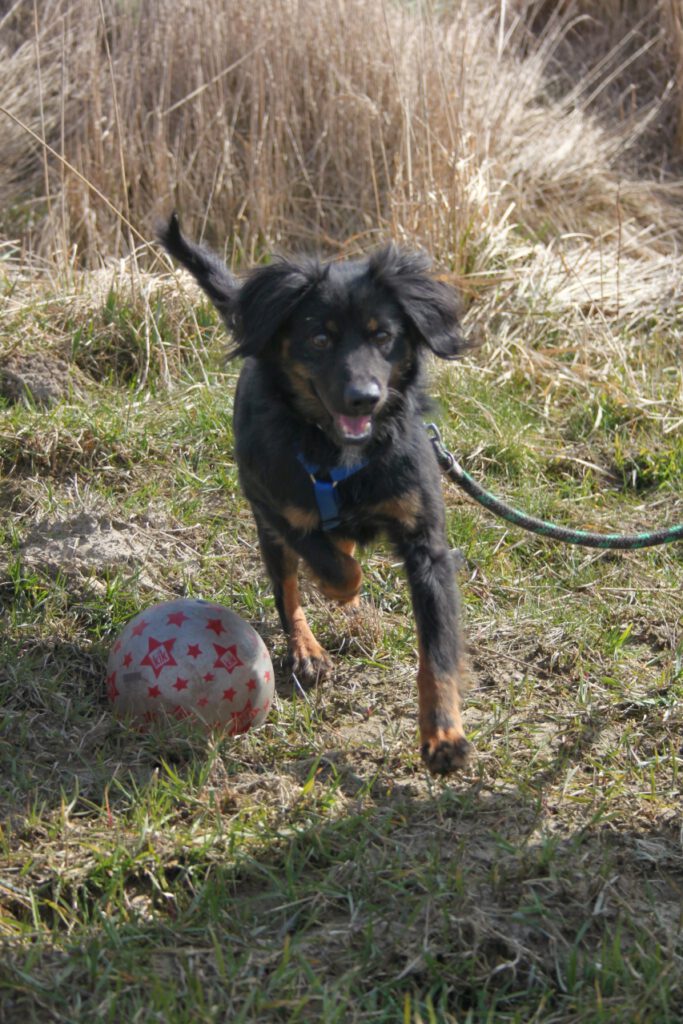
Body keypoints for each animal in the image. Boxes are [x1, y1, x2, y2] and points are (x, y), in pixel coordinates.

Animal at [158, 216, 473, 774]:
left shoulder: (426, 544)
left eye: (383, 336)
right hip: (268, 530)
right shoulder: (275, 507)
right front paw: (339, 590)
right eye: (320, 338)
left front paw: (443, 736)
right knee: (288, 588)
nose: (364, 397)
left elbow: (436, 653)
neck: (339, 450)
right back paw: (307, 647)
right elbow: (333, 566)